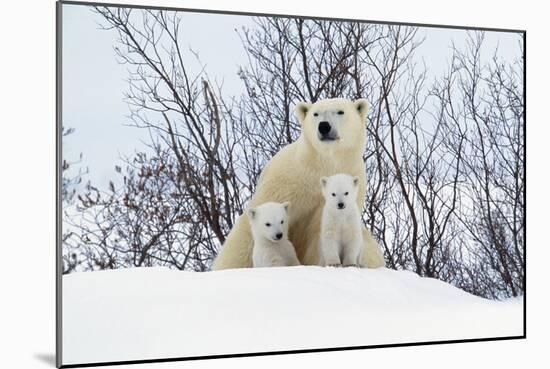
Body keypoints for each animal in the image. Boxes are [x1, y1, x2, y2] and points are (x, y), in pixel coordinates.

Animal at [213, 97, 386, 270]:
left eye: (340, 111)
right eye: (315, 114)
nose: (324, 126)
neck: (323, 163)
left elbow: (320, 232)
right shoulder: (286, 180)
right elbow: (251, 227)